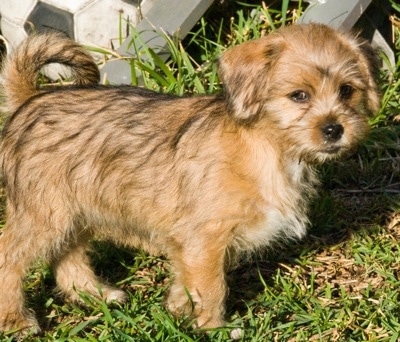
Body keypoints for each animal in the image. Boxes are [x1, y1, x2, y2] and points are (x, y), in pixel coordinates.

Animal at [0, 22, 380, 338]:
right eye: (299, 95)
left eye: (347, 90)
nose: (334, 129)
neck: (269, 148)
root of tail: (31, 99)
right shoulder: (205, 239)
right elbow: (212, 287)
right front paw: (213, 328)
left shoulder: (191, 244)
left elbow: (189, 282)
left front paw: (180, 312)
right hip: (43, 214)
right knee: (10, 258)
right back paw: (16, 321)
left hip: (73, 213)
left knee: (68, 256)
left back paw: (97, 295)